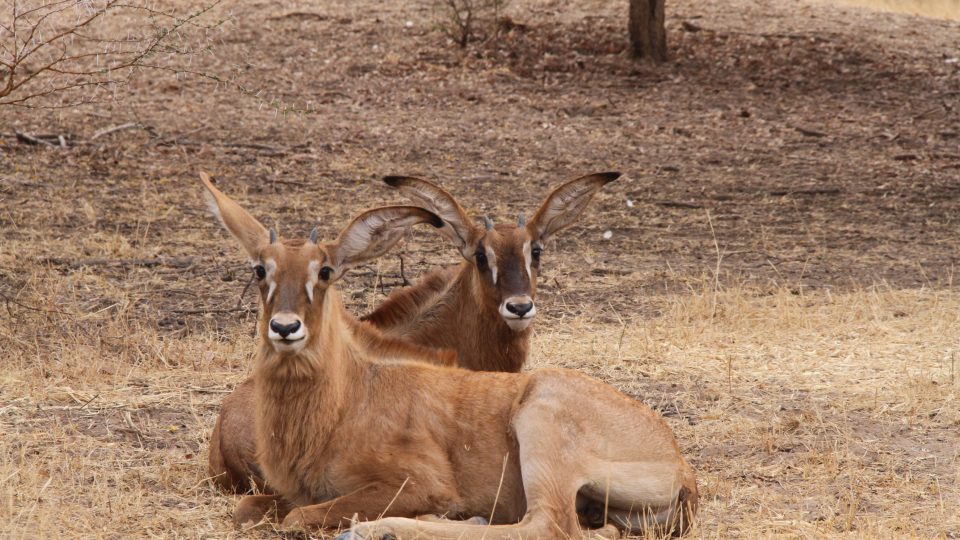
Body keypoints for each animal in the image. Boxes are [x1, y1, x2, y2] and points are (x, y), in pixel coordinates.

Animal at [201, 172, 696, 536]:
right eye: (260, 269)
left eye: (324, 271)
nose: (285, 328)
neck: (346, 398)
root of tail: (679, 463)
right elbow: (248, 509)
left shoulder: (418, 483)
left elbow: (297, 517)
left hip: (540, 421)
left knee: (547, 526)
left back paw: (385, 529)